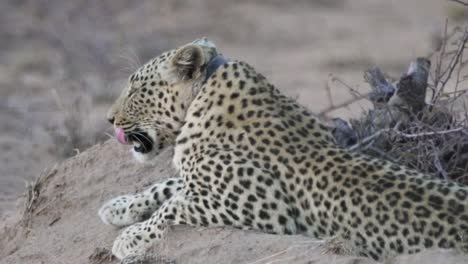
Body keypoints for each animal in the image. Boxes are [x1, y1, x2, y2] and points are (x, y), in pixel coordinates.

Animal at [97, 37, 466, 260]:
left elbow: (172, 205)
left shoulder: (263, 205)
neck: (201, 99)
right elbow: (168, 186)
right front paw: (120, 206)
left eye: (134, 91)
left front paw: (130, 238)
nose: (109, 118)